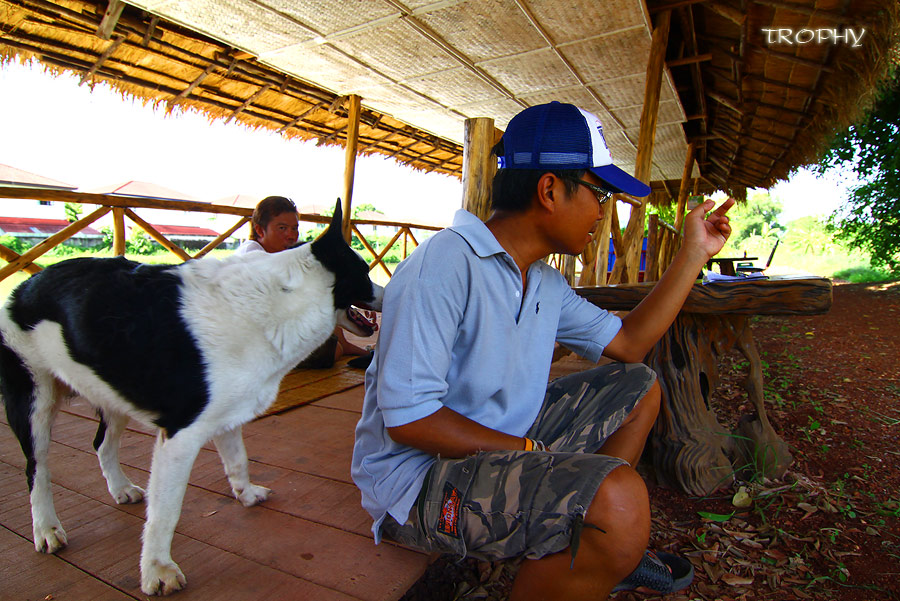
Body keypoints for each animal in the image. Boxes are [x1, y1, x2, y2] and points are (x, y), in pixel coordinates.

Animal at [0, 199, 382, 592]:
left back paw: (120, 489)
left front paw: (246, 495)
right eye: (365, 271)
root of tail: (25, 286)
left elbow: (238, 460)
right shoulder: (179, 438)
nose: (388, 293)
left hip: (111, 394)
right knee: (37, 469)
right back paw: (46, 529)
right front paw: (157, 570)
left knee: (102, 445)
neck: (280, 300)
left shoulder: (226, 418)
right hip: (35, 404)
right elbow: (166, 511)